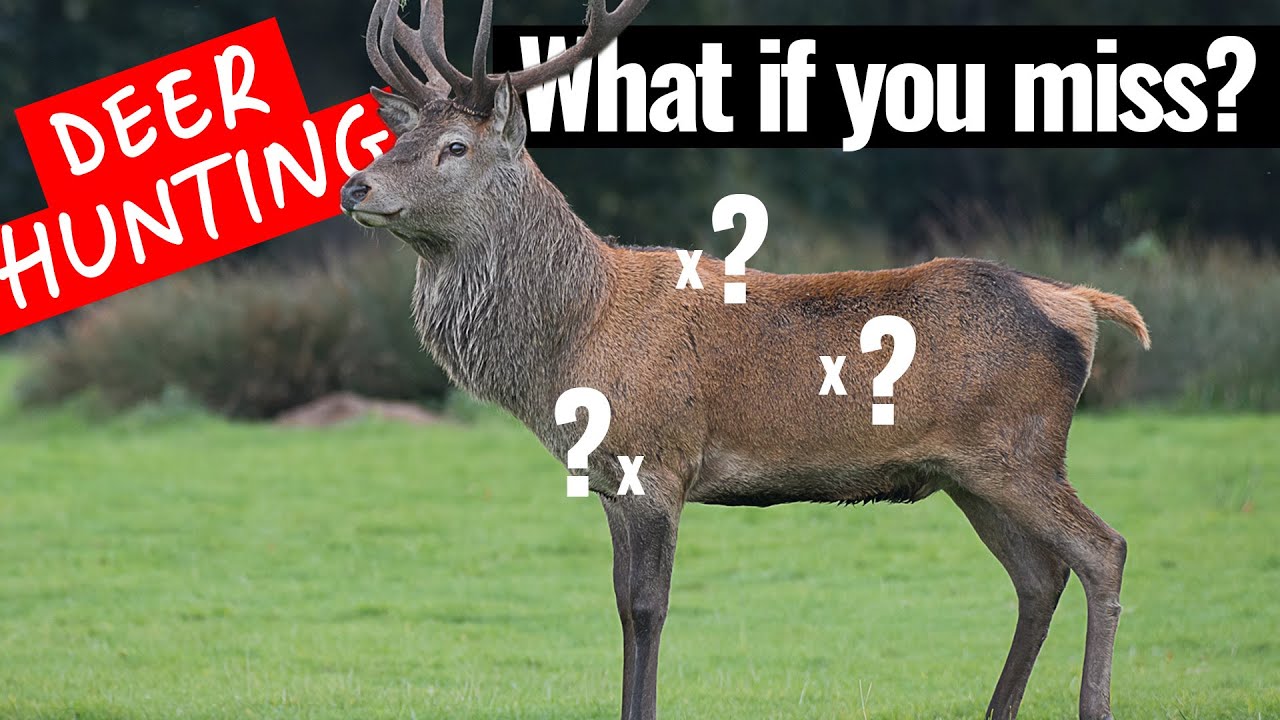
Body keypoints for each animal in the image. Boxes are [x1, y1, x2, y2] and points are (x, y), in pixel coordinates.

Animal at [339, 2, 1150, 719]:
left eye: (456, 147)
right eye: (399, 139)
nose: (356, 185)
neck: (574, 340)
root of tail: (1078, 303)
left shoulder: (658, 460)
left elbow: (647, 607)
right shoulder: (607, 479)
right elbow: (619, 603)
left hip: (1017, 451)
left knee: (1102, 550)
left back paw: (1096, 706)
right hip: (968, 473)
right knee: (1039, 577)